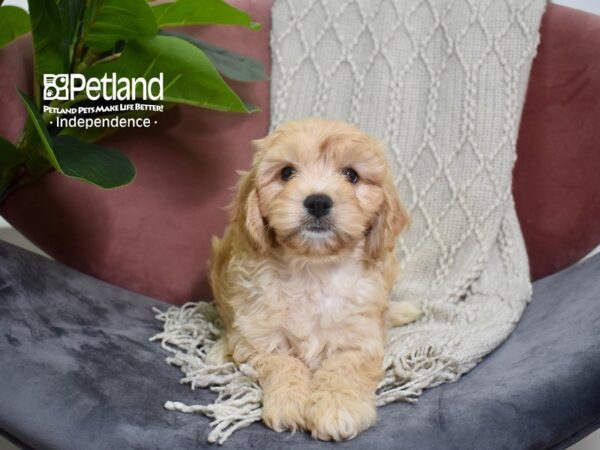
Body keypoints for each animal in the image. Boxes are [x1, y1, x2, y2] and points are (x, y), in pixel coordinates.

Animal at [209, 117, 420, 440]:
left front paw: (337, 408)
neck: (313, 267)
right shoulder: (259, 335)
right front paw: (289, 402)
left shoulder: (360, 338)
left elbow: (344, 368)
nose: (318, 202)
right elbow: (282, 362)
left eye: (351, 175)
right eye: (286, 172)